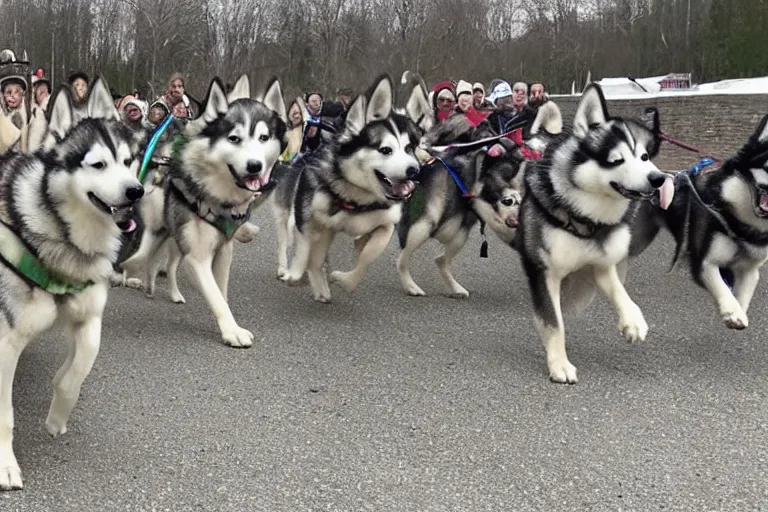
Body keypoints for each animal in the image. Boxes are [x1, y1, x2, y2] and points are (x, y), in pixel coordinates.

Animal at [0, 78, 143, 490]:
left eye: (128, 161)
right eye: (98, 164)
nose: (136, 191)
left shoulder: (88, 316)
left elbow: (76, 371)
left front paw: (56, 417)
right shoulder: (6, 342)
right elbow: (4, 415)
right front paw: (6, 466)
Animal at [120, 75, 288, 348]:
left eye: (264, 137)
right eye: (233, 138)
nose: (254, 166)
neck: (214, 192)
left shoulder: (223, 250)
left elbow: (221, 293)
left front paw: (227, 324)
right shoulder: (198, 257)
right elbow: (216, 296)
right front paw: (232, 331)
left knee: (163, 262)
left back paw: (159, 288)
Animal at [272, 74, 420, 302]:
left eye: (409, 148)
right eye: (385, 150)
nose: (415, 170)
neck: (355, 197)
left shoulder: (385, 224)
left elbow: (366, 257)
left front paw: (345, 280)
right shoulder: (309, 217)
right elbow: (304, 248)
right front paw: (295, 274)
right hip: (289, 216)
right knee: (288, 243)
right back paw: (287, 270)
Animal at [520, 84, 668, 382]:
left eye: (644, 157)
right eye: (617, 160)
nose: (658, 179)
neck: (585, 216)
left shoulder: (600, 263)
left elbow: (619, 290)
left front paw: (632, 321)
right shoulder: (545, 272)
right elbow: (554, 323)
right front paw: (559, 364)